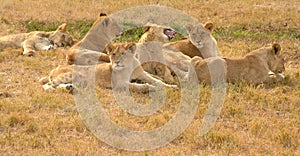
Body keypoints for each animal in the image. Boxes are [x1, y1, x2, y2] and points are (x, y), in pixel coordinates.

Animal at [39, 42, 176, 92]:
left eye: (123, 54)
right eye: (113, 54)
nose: (117, 62)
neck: (129, 66)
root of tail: (54, 69)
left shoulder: (143, 75)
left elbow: (158, 81)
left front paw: (172, 86)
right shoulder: (119, 84)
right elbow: (141, 86)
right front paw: (152, 88)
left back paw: (69, 87)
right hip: (68, 74)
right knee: (48, 85)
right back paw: (53, 89)